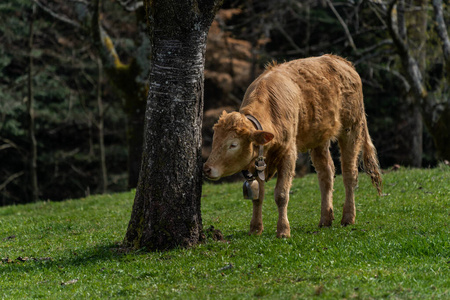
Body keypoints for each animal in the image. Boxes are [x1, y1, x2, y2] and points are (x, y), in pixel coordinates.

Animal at [202, 54, 382, 237]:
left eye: (233, 144)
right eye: (215, 140)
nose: (207, 168)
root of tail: (341, 61)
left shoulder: (288, 153)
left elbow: (281, 194)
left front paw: (283, 230)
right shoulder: (257, 161)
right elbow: (258, 196)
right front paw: (255, 228)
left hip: (351, 128)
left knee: (349, 173)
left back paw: (348, 217)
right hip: (319, 138)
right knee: (326, 173)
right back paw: (325, 219)